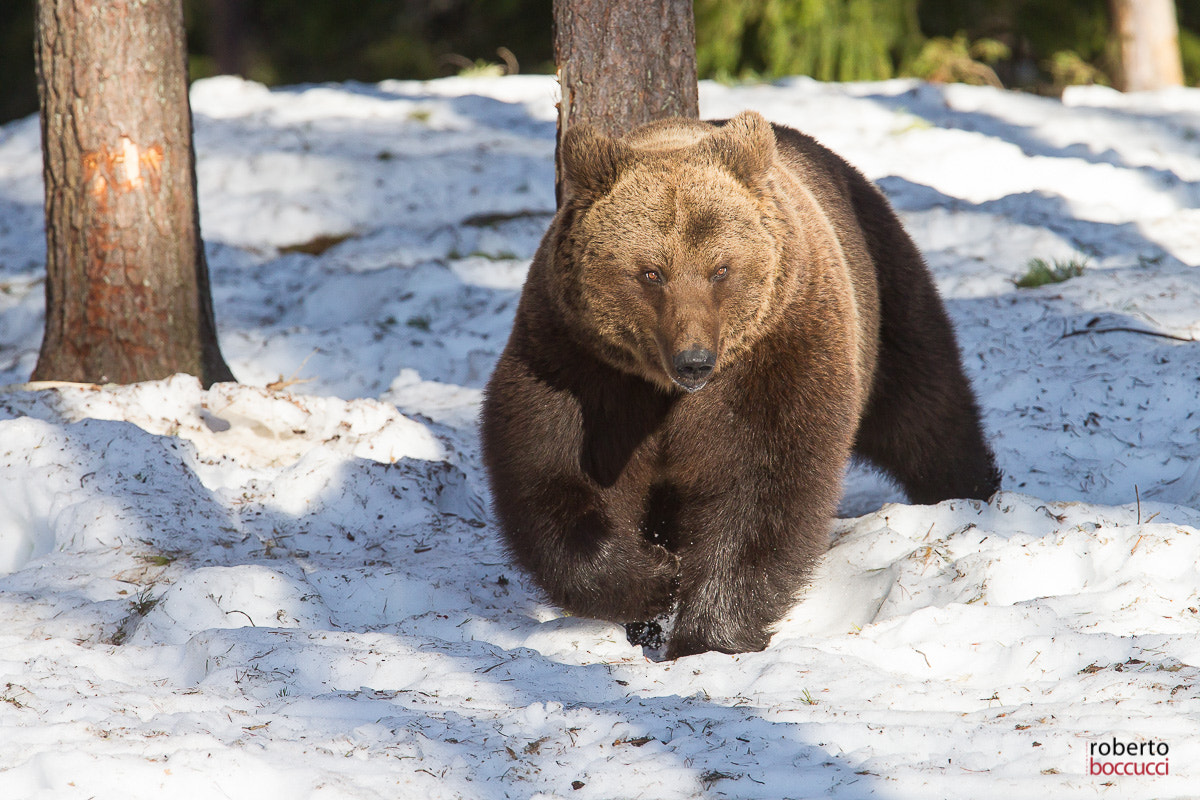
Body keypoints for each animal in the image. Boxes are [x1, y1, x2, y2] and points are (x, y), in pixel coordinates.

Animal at [480, 111, 1000, 659]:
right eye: (651, 272)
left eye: (721, 269)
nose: (693, 361)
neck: (665, 393)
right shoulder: (580, 365)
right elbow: (552, 476)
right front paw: (656, 581)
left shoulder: (774, 360)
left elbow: (761, 486)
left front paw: (707, 635)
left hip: (883, 295)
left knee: (925, 409)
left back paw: (970, 493)